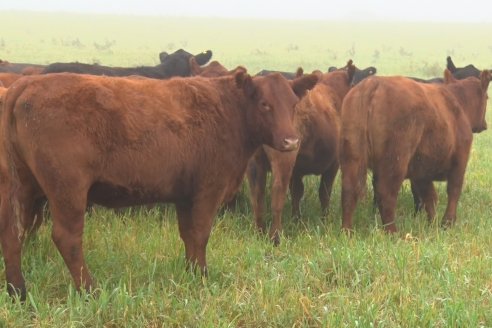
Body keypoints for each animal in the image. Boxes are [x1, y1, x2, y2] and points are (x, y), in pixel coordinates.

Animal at [248, 60, 356, 243]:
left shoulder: (297, 171)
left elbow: (297, 192)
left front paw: (296, 219)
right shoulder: (333, 165)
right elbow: (324, 193)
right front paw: (325, 219)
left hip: (256, 163)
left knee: (257, 195)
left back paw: (259, 231)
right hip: (283, 157)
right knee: (277, 192)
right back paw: (275, 236)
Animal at [340, 69, 490, 233]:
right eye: (487, 97)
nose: (484, 124)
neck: (457, 105)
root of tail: (373, 84)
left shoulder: (421, 172)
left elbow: (429, 197)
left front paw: (433, 224)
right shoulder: (460, 160)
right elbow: (453, 190)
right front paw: (447, 223)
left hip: (352, 156)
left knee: (349, 190)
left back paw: (347, 231)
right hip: (395, 159)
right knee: (386, 193)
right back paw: (392, 232)